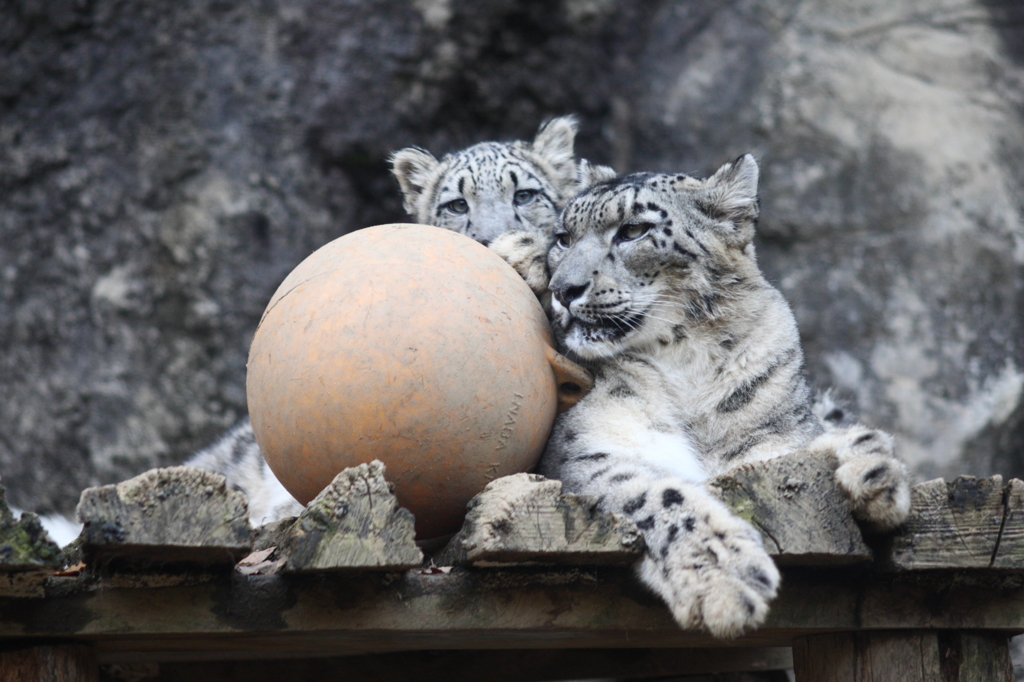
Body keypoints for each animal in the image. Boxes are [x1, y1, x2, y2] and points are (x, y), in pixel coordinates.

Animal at [528, 155, 913, 638]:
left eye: (633, 230)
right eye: (563, 238)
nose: (563, 290)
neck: (686, 364)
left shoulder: (772, 443)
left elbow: (810, 441)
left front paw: (874, 472)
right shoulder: (587, 452)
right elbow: (658, 492)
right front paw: (724, 579)